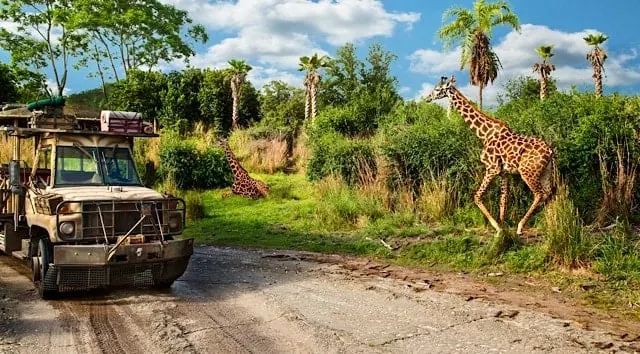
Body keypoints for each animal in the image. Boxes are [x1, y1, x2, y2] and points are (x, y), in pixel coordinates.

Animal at [424, 75, 556, 235]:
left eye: (438, 89)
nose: (427, 98)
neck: (484, 134)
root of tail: (550, 152)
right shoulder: (504, 172)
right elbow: (503, 199)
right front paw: (503, 227)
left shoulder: (492, 168)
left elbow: (477, 196)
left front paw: (497, 227)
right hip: (545, 172)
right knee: (549, 193)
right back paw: (551, 225)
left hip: (528, 172)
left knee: (539, 194)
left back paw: (521, 226)